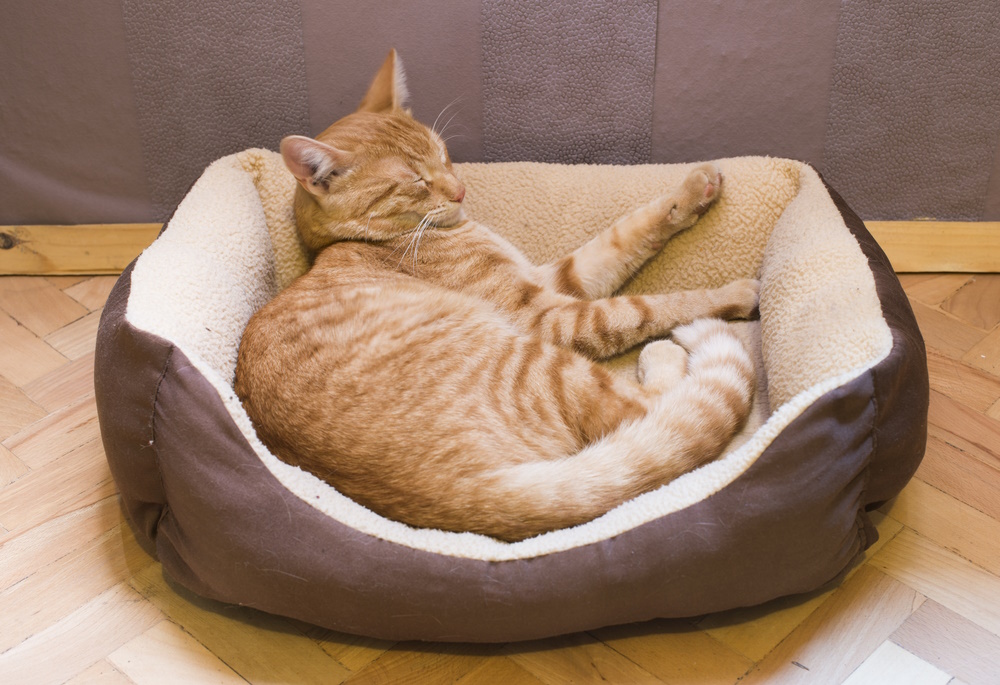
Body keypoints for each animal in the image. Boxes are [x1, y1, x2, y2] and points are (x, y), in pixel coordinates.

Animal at [234, 49, 760, 540]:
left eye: (443, 154)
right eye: (416, 181)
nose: (460, 190)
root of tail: (454, 501)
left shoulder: (557, 279)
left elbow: (628, 234)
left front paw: (691, 191)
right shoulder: (553, 317)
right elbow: (653, 305)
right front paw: (733, 294)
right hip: (547, 364)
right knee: (654, 408)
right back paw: (666, 356)